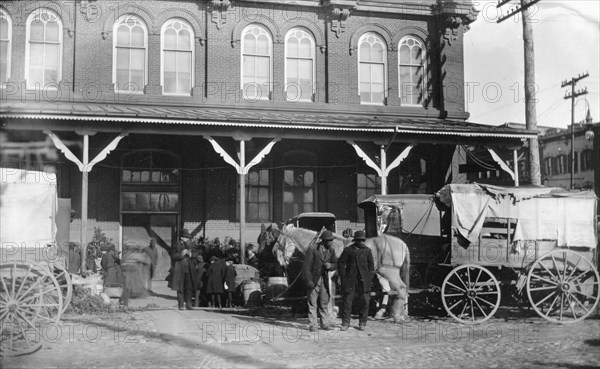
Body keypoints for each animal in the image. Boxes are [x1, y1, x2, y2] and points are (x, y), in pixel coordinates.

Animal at [274, 223, 412, 320]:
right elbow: (332, 293)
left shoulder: (329, 274)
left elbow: (330, 293)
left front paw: (330, 313)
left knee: (401, 288)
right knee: (388, 290)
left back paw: (397, 315)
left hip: (389, 272)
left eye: (279, 240)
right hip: (381, 273)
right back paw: (383, 313)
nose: (274, 252)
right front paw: (333, 311)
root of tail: (402, 243)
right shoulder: (333, 276)